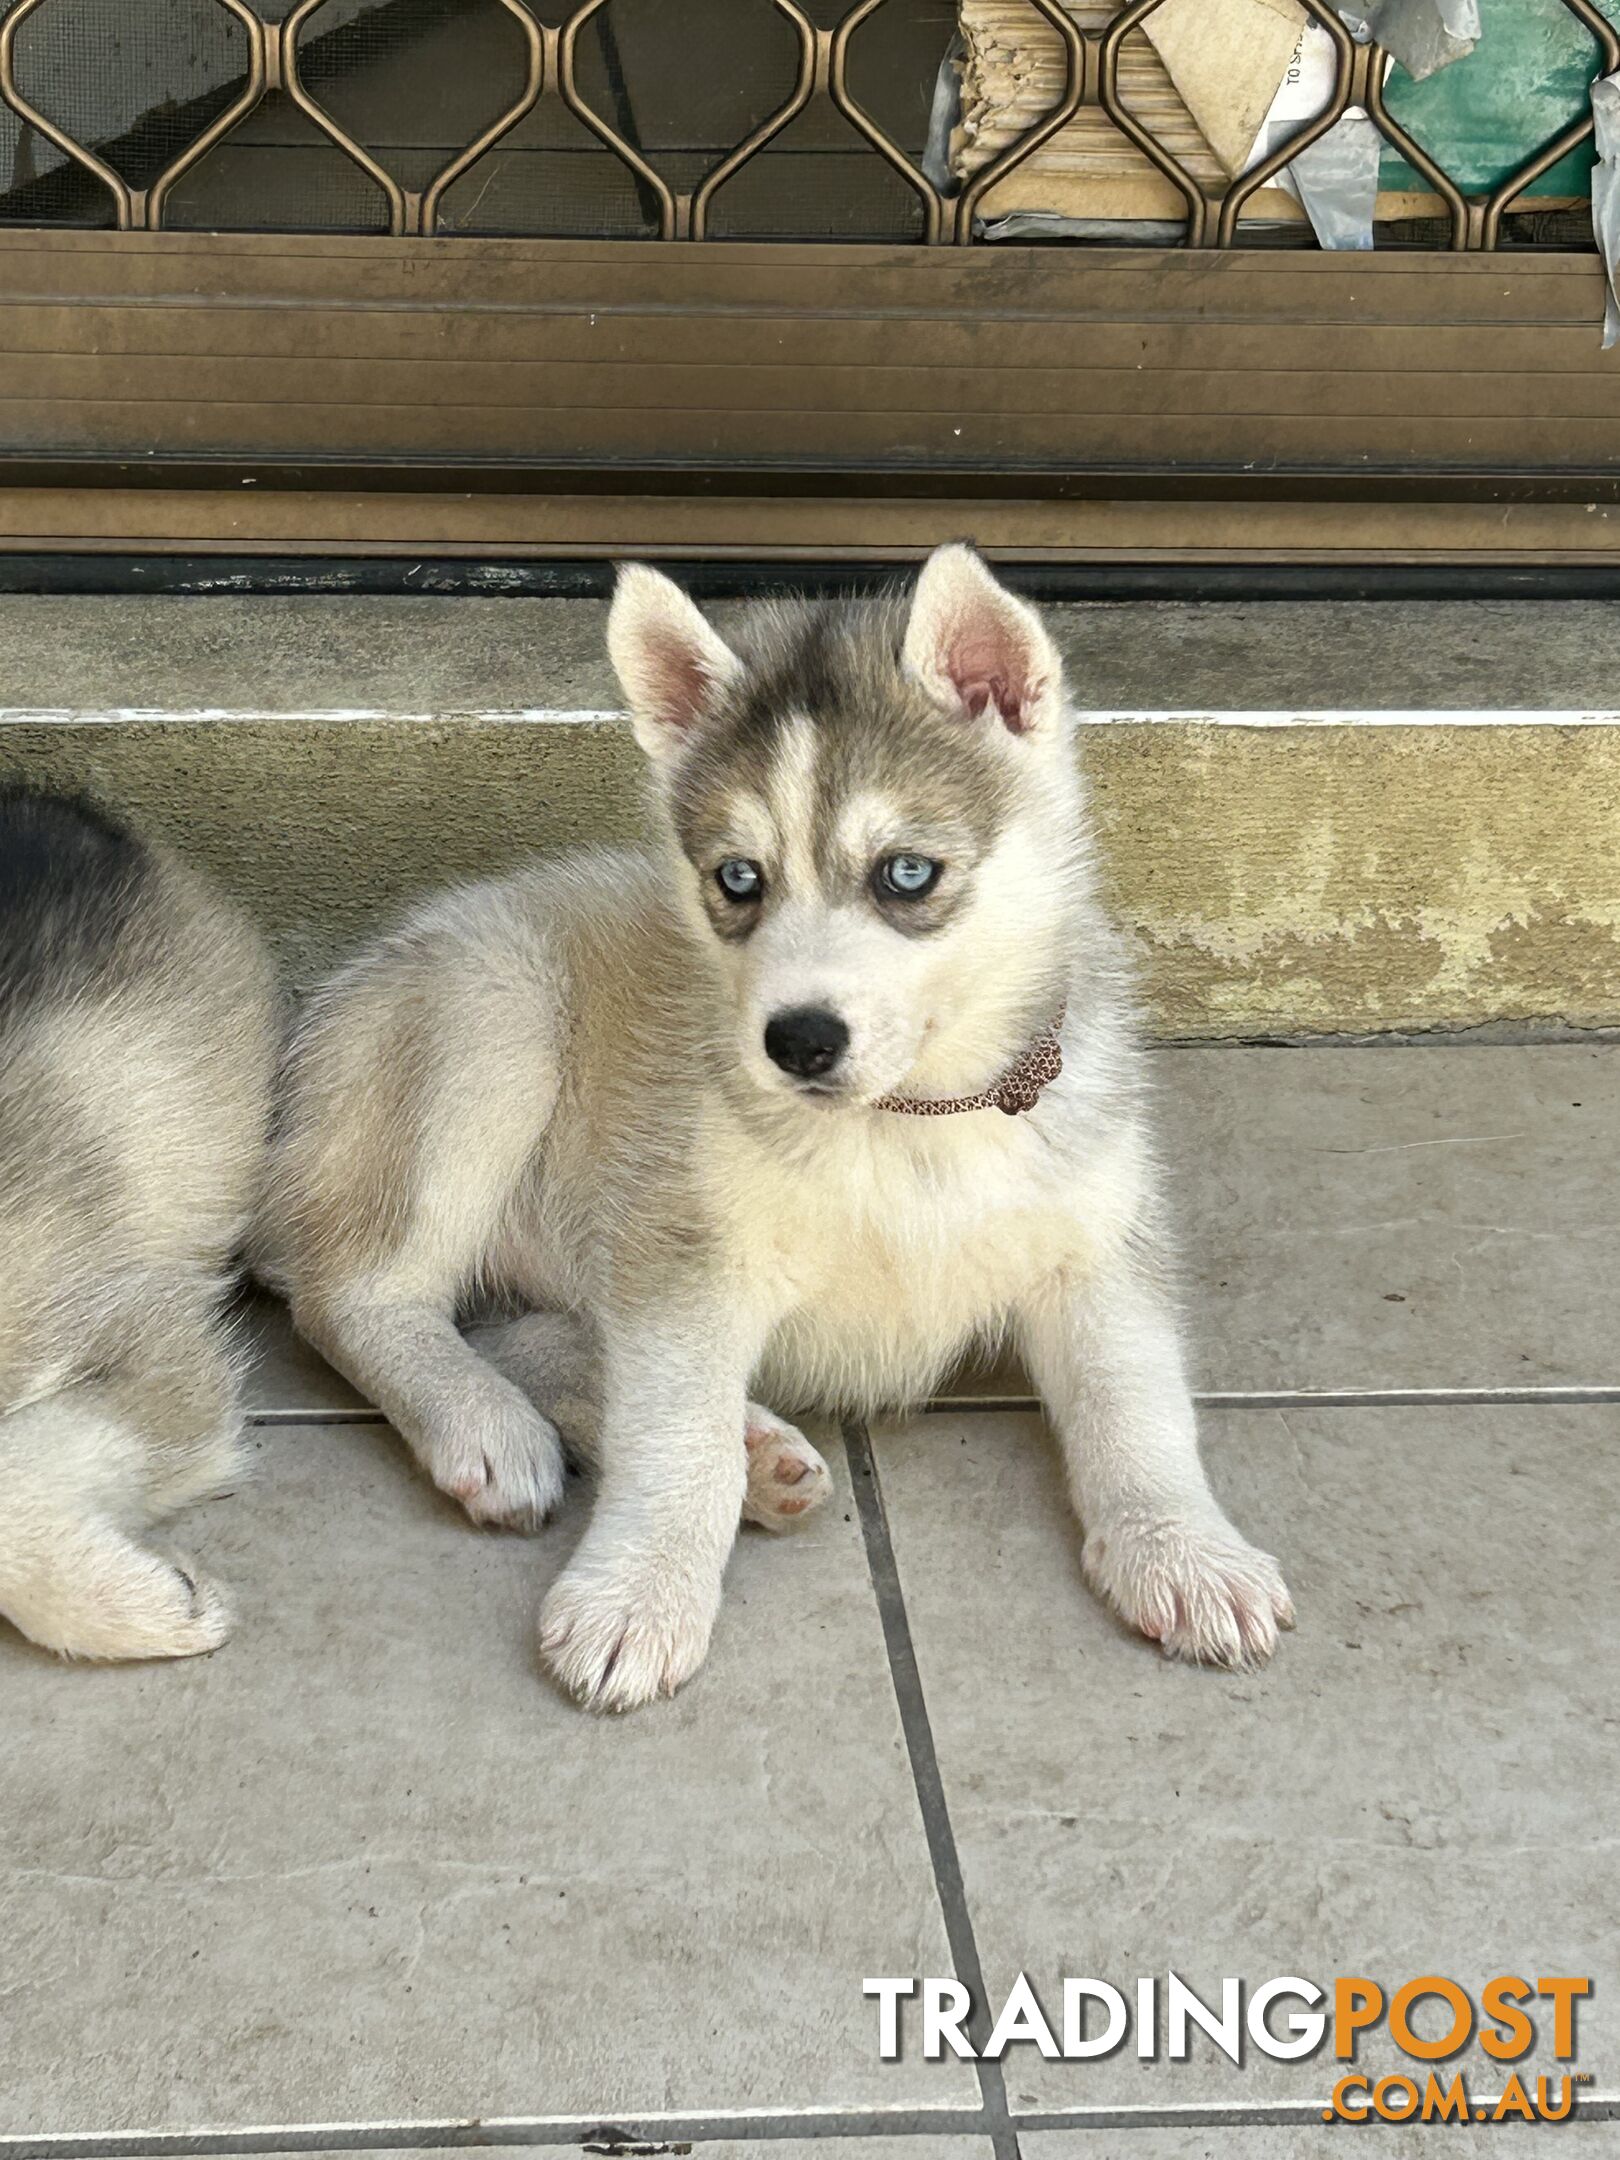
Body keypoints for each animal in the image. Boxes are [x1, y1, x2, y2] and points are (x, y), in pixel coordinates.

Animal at [263, 548, 1296, 1710]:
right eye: (738, 879)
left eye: (906, 873)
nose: (796, 1040)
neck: (908, 1123)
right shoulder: (689, 1255)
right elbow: (677, 1438)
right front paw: (639, 1594)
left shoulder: (1099, 1247)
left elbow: (1138, 1405)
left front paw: (1186, 1552)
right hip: (487, 1020)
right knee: (358, 1297)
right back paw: (485, 1425)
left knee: (522, 1327)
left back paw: (748, 1449)